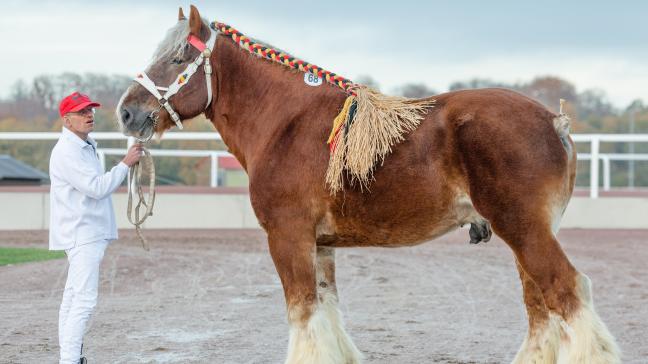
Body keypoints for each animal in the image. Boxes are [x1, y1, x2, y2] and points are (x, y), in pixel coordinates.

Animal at [116, 5, 616, 364]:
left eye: (178, 59)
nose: (126, 112)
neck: (286, 124)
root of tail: (554, 122)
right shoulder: (320, 245)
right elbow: (324, 311)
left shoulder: (288, 237)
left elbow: (302, 311)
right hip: (526, 236)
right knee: (541, 306)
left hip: (524, 231)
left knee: (567, 291)